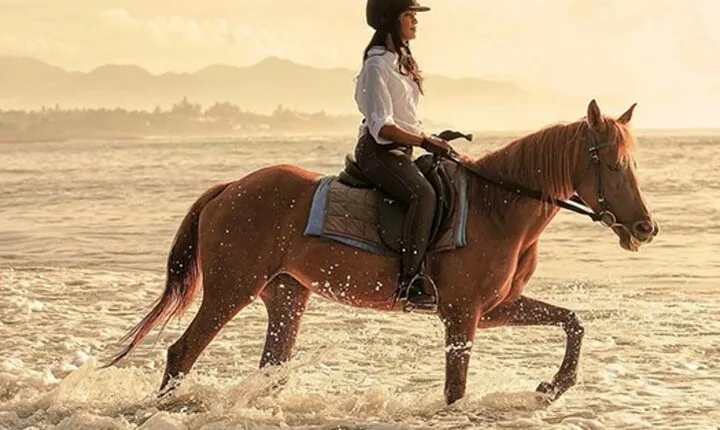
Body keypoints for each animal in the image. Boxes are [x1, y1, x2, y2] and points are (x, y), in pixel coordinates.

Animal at [105, 100, 658, 405]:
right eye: (613, 164)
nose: (645, 228)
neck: (496, 207)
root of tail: (230, 188)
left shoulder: (494, 308)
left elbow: (573, 321)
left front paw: (554, 386)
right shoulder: (463, 314)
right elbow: (455, 389)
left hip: (286, 295)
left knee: (270, 368)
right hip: (231, 288)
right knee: (182, 352)